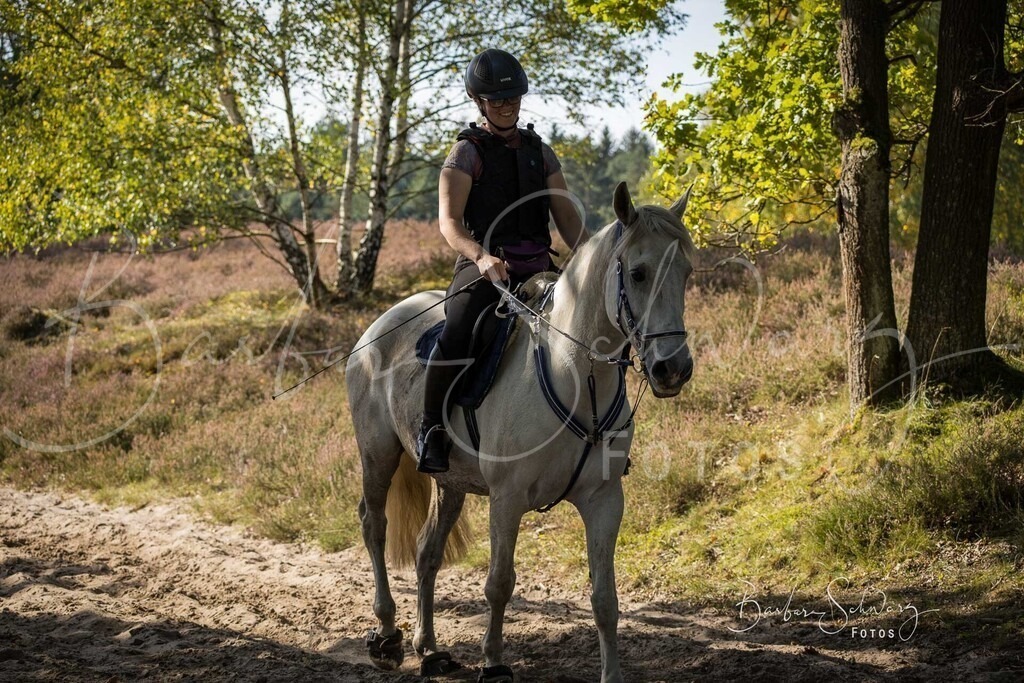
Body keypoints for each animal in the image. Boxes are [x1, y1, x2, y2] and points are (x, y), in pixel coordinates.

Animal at [345, 182, 695, 683]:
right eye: (640, 273)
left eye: (686, 271)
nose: (674, 369)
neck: (576, 376)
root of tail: (377, 326)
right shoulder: (507, 498)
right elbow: (499, 584)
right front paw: (493, 663)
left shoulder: (604, 500)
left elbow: (604, 599)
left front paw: (611, 672)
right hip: (378, 454)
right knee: (374, 526)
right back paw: (387, 636)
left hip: (450, 481)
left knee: (427, 552)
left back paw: (428, 649)